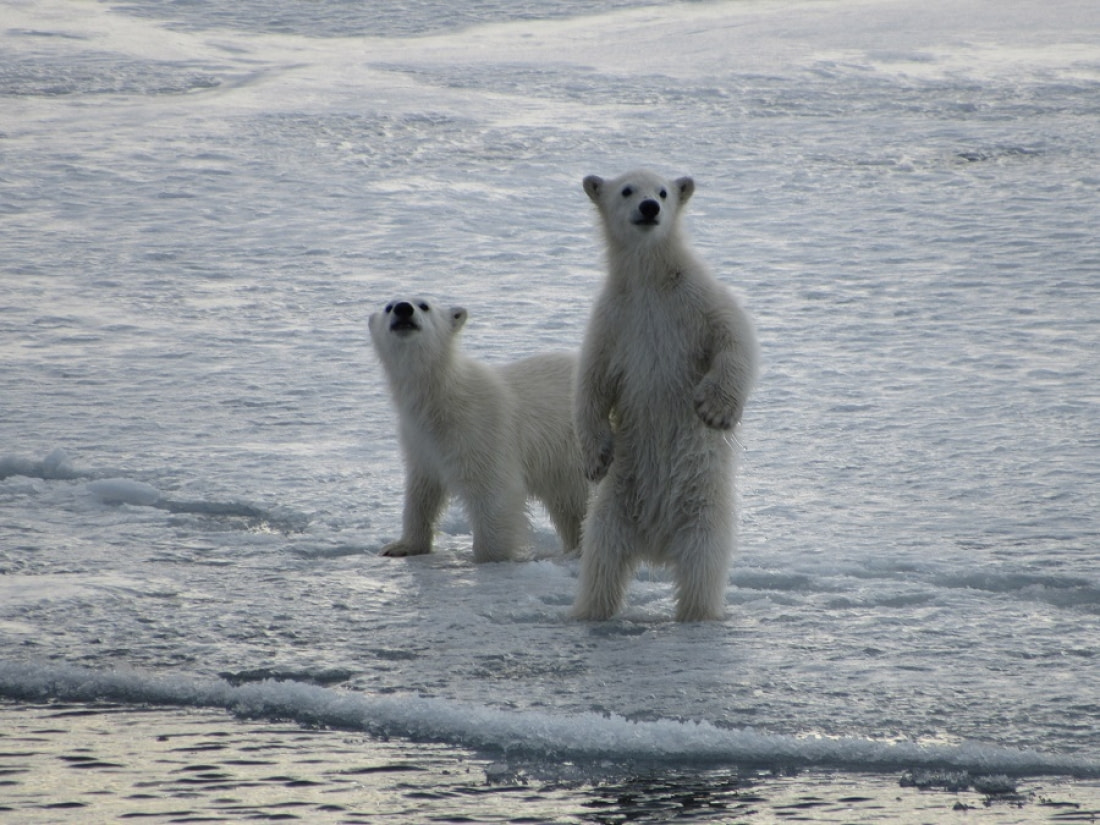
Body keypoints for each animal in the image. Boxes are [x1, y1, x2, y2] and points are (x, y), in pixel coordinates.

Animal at [369, 301, 594, 567]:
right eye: (388, 306)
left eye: (424, 305)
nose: (403, 309)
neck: (441, 399)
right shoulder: (419, 440)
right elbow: (422, 491)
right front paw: (401, 546)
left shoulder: (481, 428)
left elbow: (492, 491)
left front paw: (489, 559)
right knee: (568, 503)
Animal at [572, 169, 761, 620]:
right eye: (627, 190)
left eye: (663, 191)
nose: (649, 208)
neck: (649, 280)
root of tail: (656, 545)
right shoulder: (614, 320)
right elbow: (591, 382)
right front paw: (595, 458)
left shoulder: (695, 298)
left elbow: (734, 337)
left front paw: (715, 410)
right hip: (615, 504)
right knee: (601, 559)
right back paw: (586, 612)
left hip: (704, 510)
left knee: (702, 567)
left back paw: (699, 614)